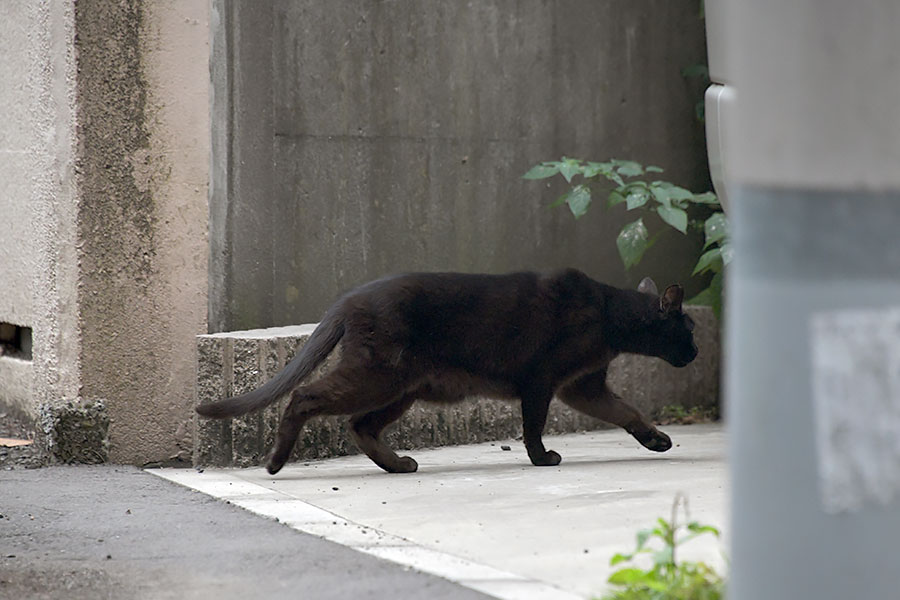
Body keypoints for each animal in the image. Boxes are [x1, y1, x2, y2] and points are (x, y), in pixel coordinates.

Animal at [200, 270, 700, 474]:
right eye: (691, 328)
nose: (696, 352)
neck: (610, 317)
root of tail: (347, 299)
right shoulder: (544, 381)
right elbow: (533, 426)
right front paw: (542, 459)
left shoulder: (582, 386)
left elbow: (626, 410)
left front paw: (656, 440)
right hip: (378, 377)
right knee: (305, 397)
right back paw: (275, 462)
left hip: (402, 388)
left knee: (360, 425)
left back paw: (398, 465)